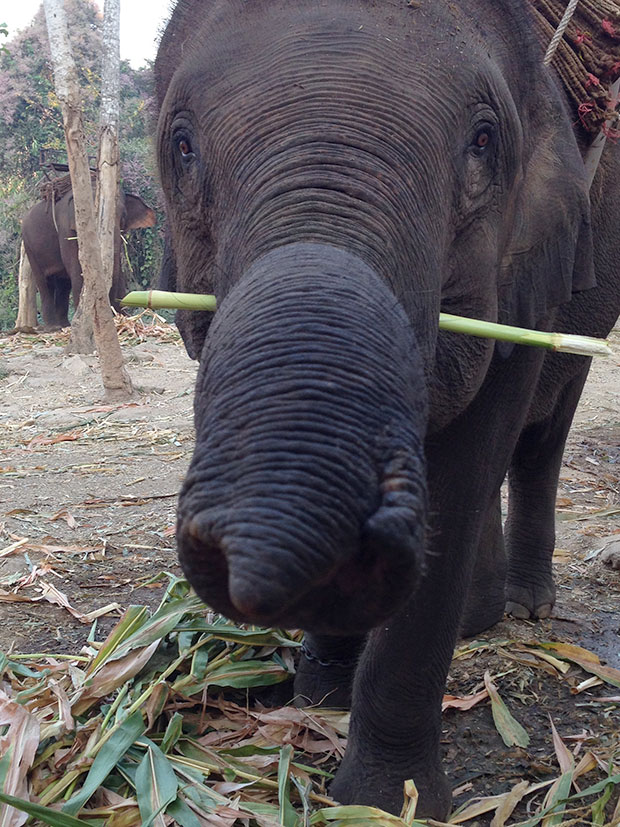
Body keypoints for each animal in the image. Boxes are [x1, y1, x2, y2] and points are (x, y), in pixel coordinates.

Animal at [21, 183, 156, 330]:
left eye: (123, 217)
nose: (119, 313)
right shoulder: (66, 229)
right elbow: (76, 267)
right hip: (29, 247)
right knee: (45, 282)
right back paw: (54, 327)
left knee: (63, 284)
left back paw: (65, 325)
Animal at [154, 0, 620, 818]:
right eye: (181, 147)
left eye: (483, 141)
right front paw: (318, 699)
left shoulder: (528, 270)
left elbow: (462, 472)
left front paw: (384, 802)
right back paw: (481, 618)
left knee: (538, 435)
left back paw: (526, 610)